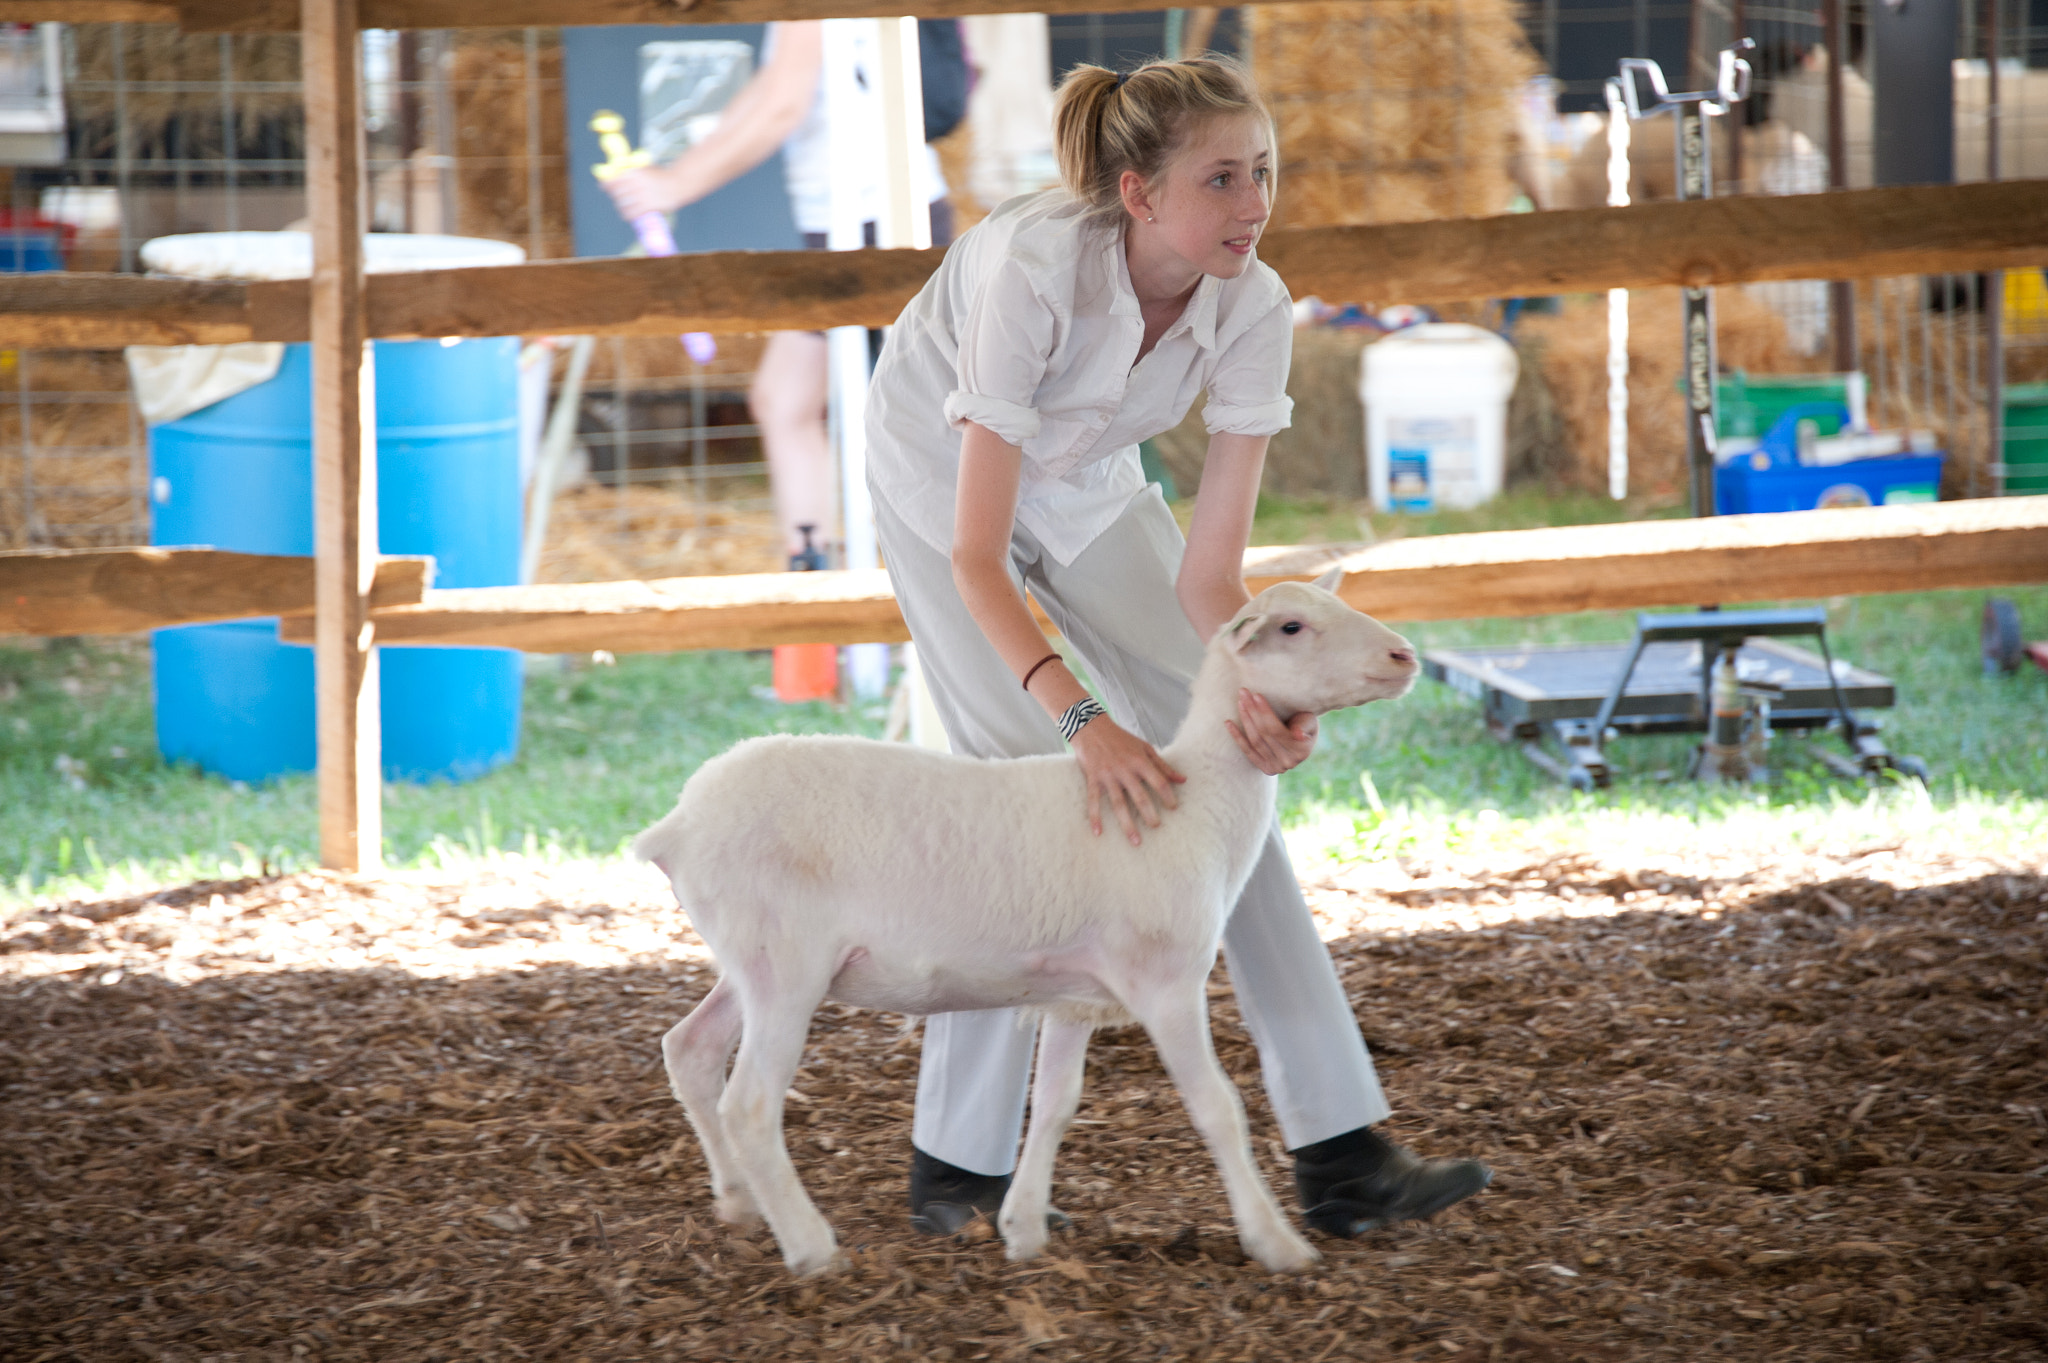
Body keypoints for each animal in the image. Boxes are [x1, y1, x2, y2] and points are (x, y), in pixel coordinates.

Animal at [633, 570, 1419, 1277]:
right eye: (1291, 626)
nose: (1404, 656)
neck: (1196, 804)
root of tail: (677, 823)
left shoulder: (1073, 996)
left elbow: (1055, 1106)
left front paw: (1024, 1229)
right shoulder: (1166, 981)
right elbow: (1216, 1107)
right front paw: (1276, 1242)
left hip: (752, 959)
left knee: (690, 1048)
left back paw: (737, 1199)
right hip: (785, 963)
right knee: (750, 1103)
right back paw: (809, 1245)